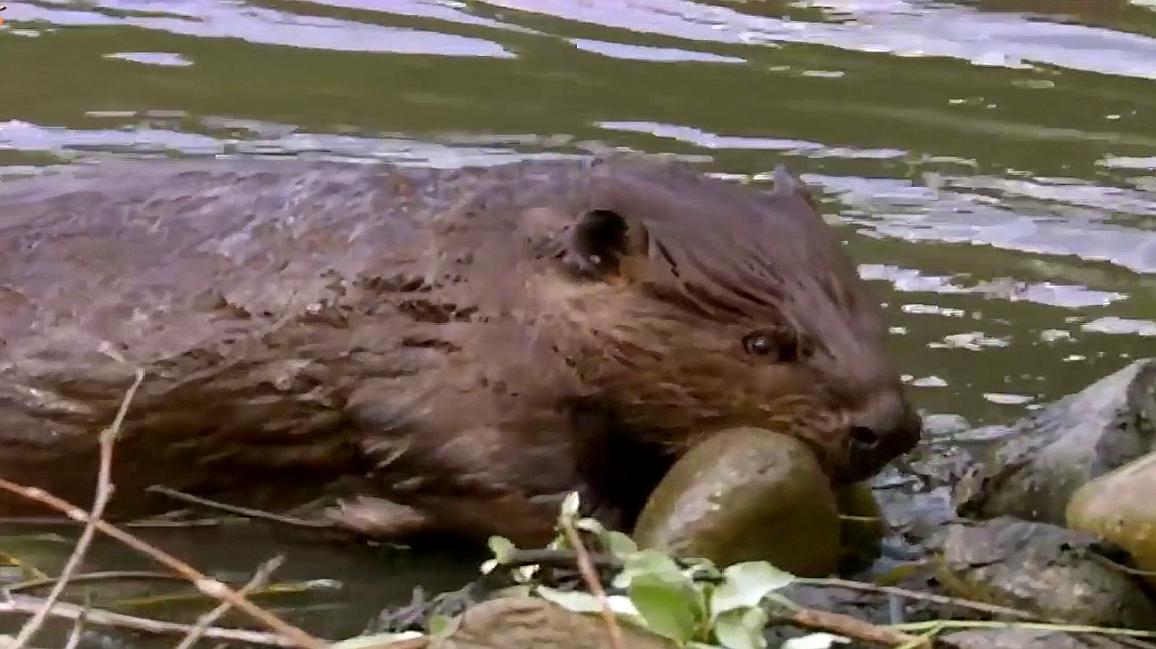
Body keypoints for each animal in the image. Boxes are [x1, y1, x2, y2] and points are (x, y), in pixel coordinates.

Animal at [0, 153, 920, 543]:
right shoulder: (443, 382)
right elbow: (518, 488)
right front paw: (359, 510)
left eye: (867, 309)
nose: (891, 427)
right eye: (765, 340)